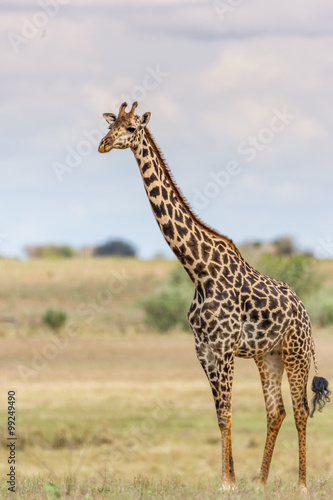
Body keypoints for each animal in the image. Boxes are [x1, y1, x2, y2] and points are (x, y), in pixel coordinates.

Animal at [97, 100, 328, 488]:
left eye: (131, 129)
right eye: (111, 125)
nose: (103, 144)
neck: (198, 270)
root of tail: (305, 312)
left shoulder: (224, 348)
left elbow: (228, 412)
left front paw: (228, 482)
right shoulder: (203, 350)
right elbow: (220, 414)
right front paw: (230, 480)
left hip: (295, 351)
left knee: (300, 410)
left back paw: (301, 484)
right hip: (269, 356)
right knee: (276, 410)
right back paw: (261, 482)